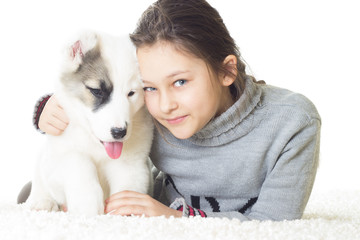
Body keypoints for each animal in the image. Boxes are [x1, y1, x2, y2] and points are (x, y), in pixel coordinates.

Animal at [27, 31, 153, 217]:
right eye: (97, 91)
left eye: (131, 93)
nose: (119, 132)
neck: (96, 146)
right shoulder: (58, 158)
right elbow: (78, 161)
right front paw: (88, 206)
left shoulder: (132, 164)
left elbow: (128, 186)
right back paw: (42, 202)